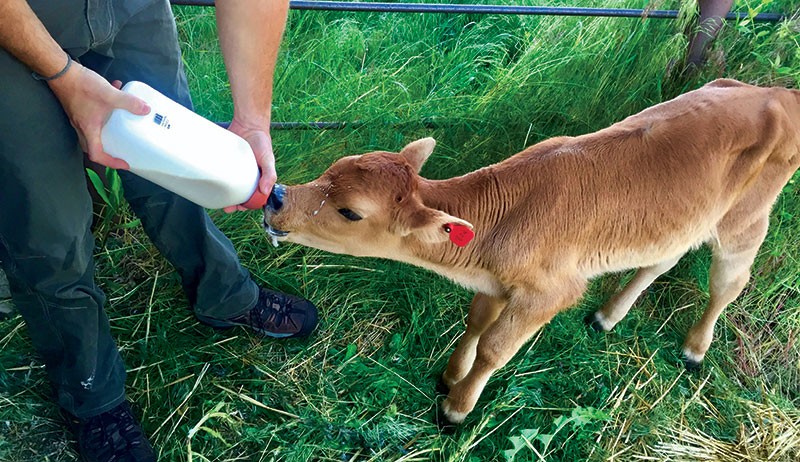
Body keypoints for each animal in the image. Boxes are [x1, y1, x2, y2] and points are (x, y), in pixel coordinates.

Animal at [262, 79, 800, 425]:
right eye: (332, 168)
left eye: (350, 212)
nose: (277, 198)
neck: (499, 224)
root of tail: (776, 92)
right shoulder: (498, 281)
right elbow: (476, 322)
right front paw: (450, 376)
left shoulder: (550, 291)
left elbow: (496, 347)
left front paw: (457, 408)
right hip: (682, 220)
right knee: (663, 257)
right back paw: (607, 316)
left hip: (745, 219)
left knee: (729, 281)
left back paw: (694, 349)